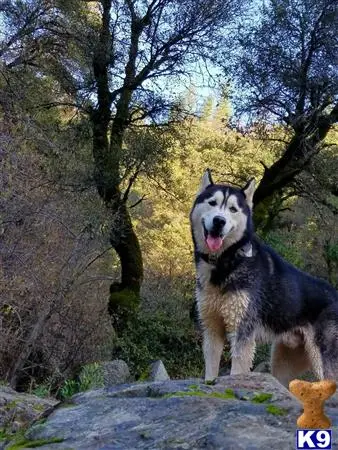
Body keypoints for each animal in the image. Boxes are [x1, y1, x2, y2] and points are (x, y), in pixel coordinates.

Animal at [190, 169, 338, 386]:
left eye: (233, 209)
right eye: (212, 203)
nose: (219, 221)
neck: (226, 261)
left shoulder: (242, 334)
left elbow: (236, 372)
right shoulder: (212, 331)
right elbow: (210, 374)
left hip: (323, 362)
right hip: (283, 364)